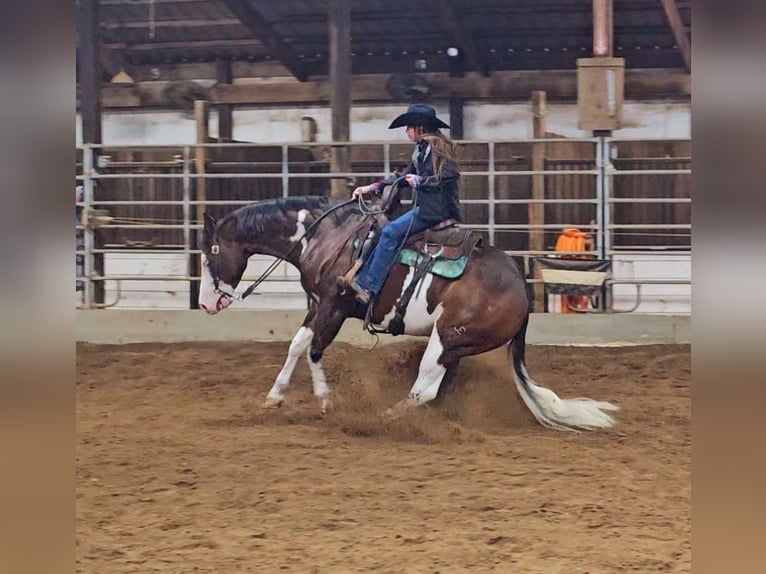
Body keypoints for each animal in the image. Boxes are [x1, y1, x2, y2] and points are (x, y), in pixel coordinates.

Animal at [196, 195, 616, 432]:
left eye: (211, 252)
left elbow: (314, 350)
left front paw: (326, 401)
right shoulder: (316, 304)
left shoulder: (334, 305)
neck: (328, 237)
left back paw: (375, 421)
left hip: (446, 338)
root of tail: (522, 293)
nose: (206, 304)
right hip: (456, 347)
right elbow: (297, 346)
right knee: (436, 390)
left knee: (424, 389)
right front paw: (275, 397)